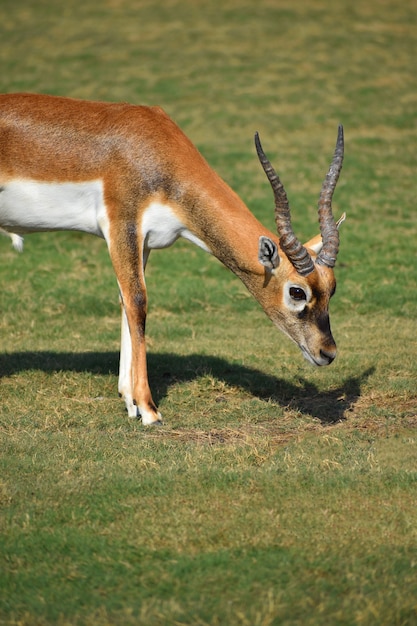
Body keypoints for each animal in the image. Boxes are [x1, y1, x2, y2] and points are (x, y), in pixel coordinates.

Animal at [0, 92, 344, 424]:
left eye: (333, 288)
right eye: (297, 291)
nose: (328, 352)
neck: (153, 148)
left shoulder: (144, 242)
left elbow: (125, 302)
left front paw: (130, 401)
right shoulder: (121, 226)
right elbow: (138, 302)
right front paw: (149, 410)